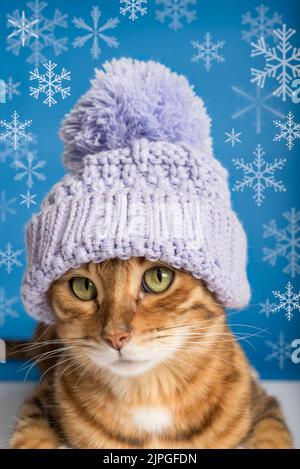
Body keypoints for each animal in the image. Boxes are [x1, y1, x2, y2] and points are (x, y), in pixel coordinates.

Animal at [9, 258, 292, 448]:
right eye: (82, 286)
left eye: (159, 277)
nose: (115, 337)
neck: (148, 393)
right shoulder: (42, 398)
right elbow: (29, 437)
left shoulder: (263, 405)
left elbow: (273, 437)